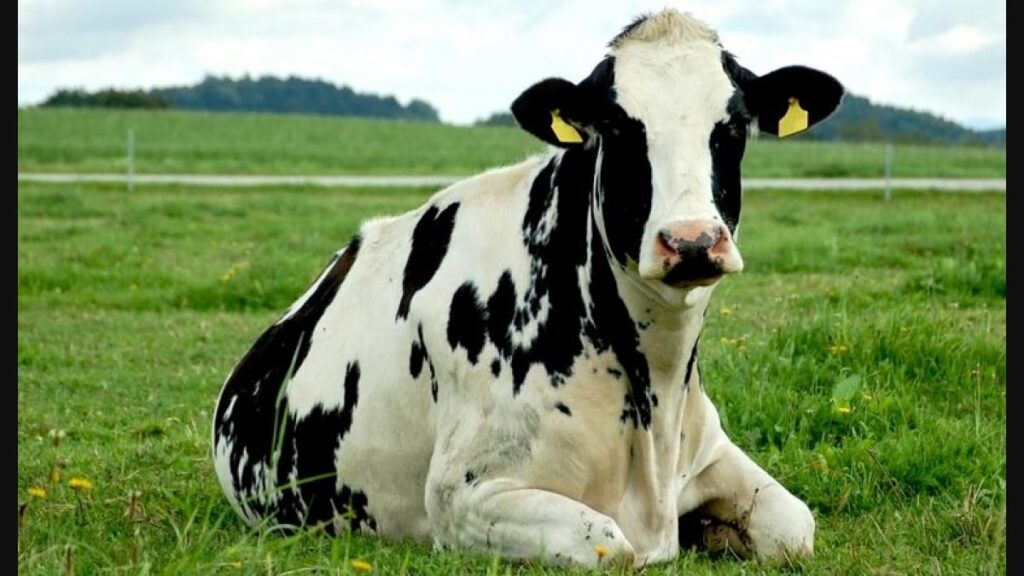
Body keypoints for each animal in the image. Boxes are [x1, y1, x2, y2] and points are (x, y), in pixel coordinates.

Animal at [212, 9, 843, 568]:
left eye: (732, 127)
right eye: (618, 127)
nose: (690, 241)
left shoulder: (710, 453)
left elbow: (795, 525)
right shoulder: (463, 497)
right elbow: (610, 544)